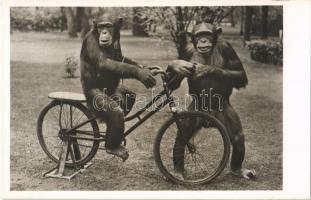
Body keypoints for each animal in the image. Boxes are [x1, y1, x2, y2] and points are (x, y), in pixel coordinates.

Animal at [81, 17, 158, 161]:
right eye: (101, 26)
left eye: (108, 26)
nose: (104, 32)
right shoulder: (90, 40)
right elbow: (104, 63)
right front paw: (141, 73)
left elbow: (121, 57)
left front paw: (147, 68)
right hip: (93, 97)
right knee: (116, 113)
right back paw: (112, 147)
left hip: (115, 93)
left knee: (129, 96)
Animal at [167, 22, 258, 180]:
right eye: (199, 35)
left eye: (207, 34)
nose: (203, 40)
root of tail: (207, 122)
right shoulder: (186, 51)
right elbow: (173, 83)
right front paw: (175, 65)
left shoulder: (227, 47)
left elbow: (241, 75)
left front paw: (206, 69)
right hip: (194, 112)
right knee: (181, 137)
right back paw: (178, 172)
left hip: (224, 112)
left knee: (237, 137)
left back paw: (237, 170)